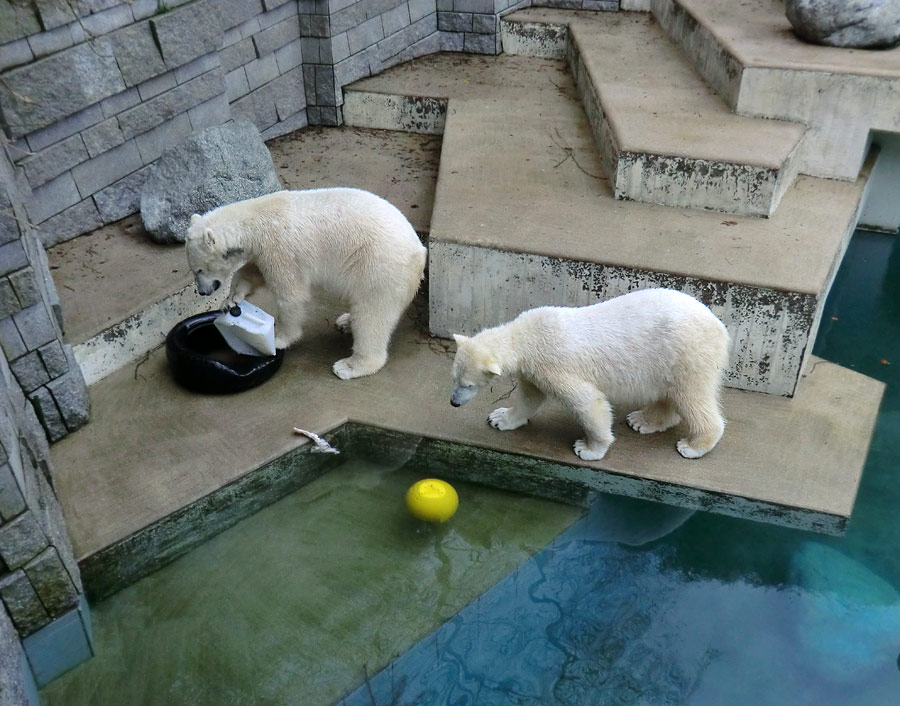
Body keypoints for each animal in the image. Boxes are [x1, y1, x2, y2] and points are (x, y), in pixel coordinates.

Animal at [185, 184, 428, 376]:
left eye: (199, 269)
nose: (203, 292)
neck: (255, 220)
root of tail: (420, 252)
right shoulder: (262, 252)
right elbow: (252, 272)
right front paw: (231, 299)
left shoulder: (279, 249)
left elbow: (291, 295)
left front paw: (279, 339)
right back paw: (345, 322)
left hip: (379, 266)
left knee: (372, 315)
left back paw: (349, 366)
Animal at [450, 288, 732, 460]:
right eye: (454, 379)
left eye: (468, 385)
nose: (453, 402)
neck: (526, 336)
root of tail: (720, 326)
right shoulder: (534, 372)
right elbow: (529, 398)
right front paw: (501, 418)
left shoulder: (553, 365)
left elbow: (588, 402)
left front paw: (588, 448)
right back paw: (642, 420)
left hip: (688, 354)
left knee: (693, 397)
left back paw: (693, 445)